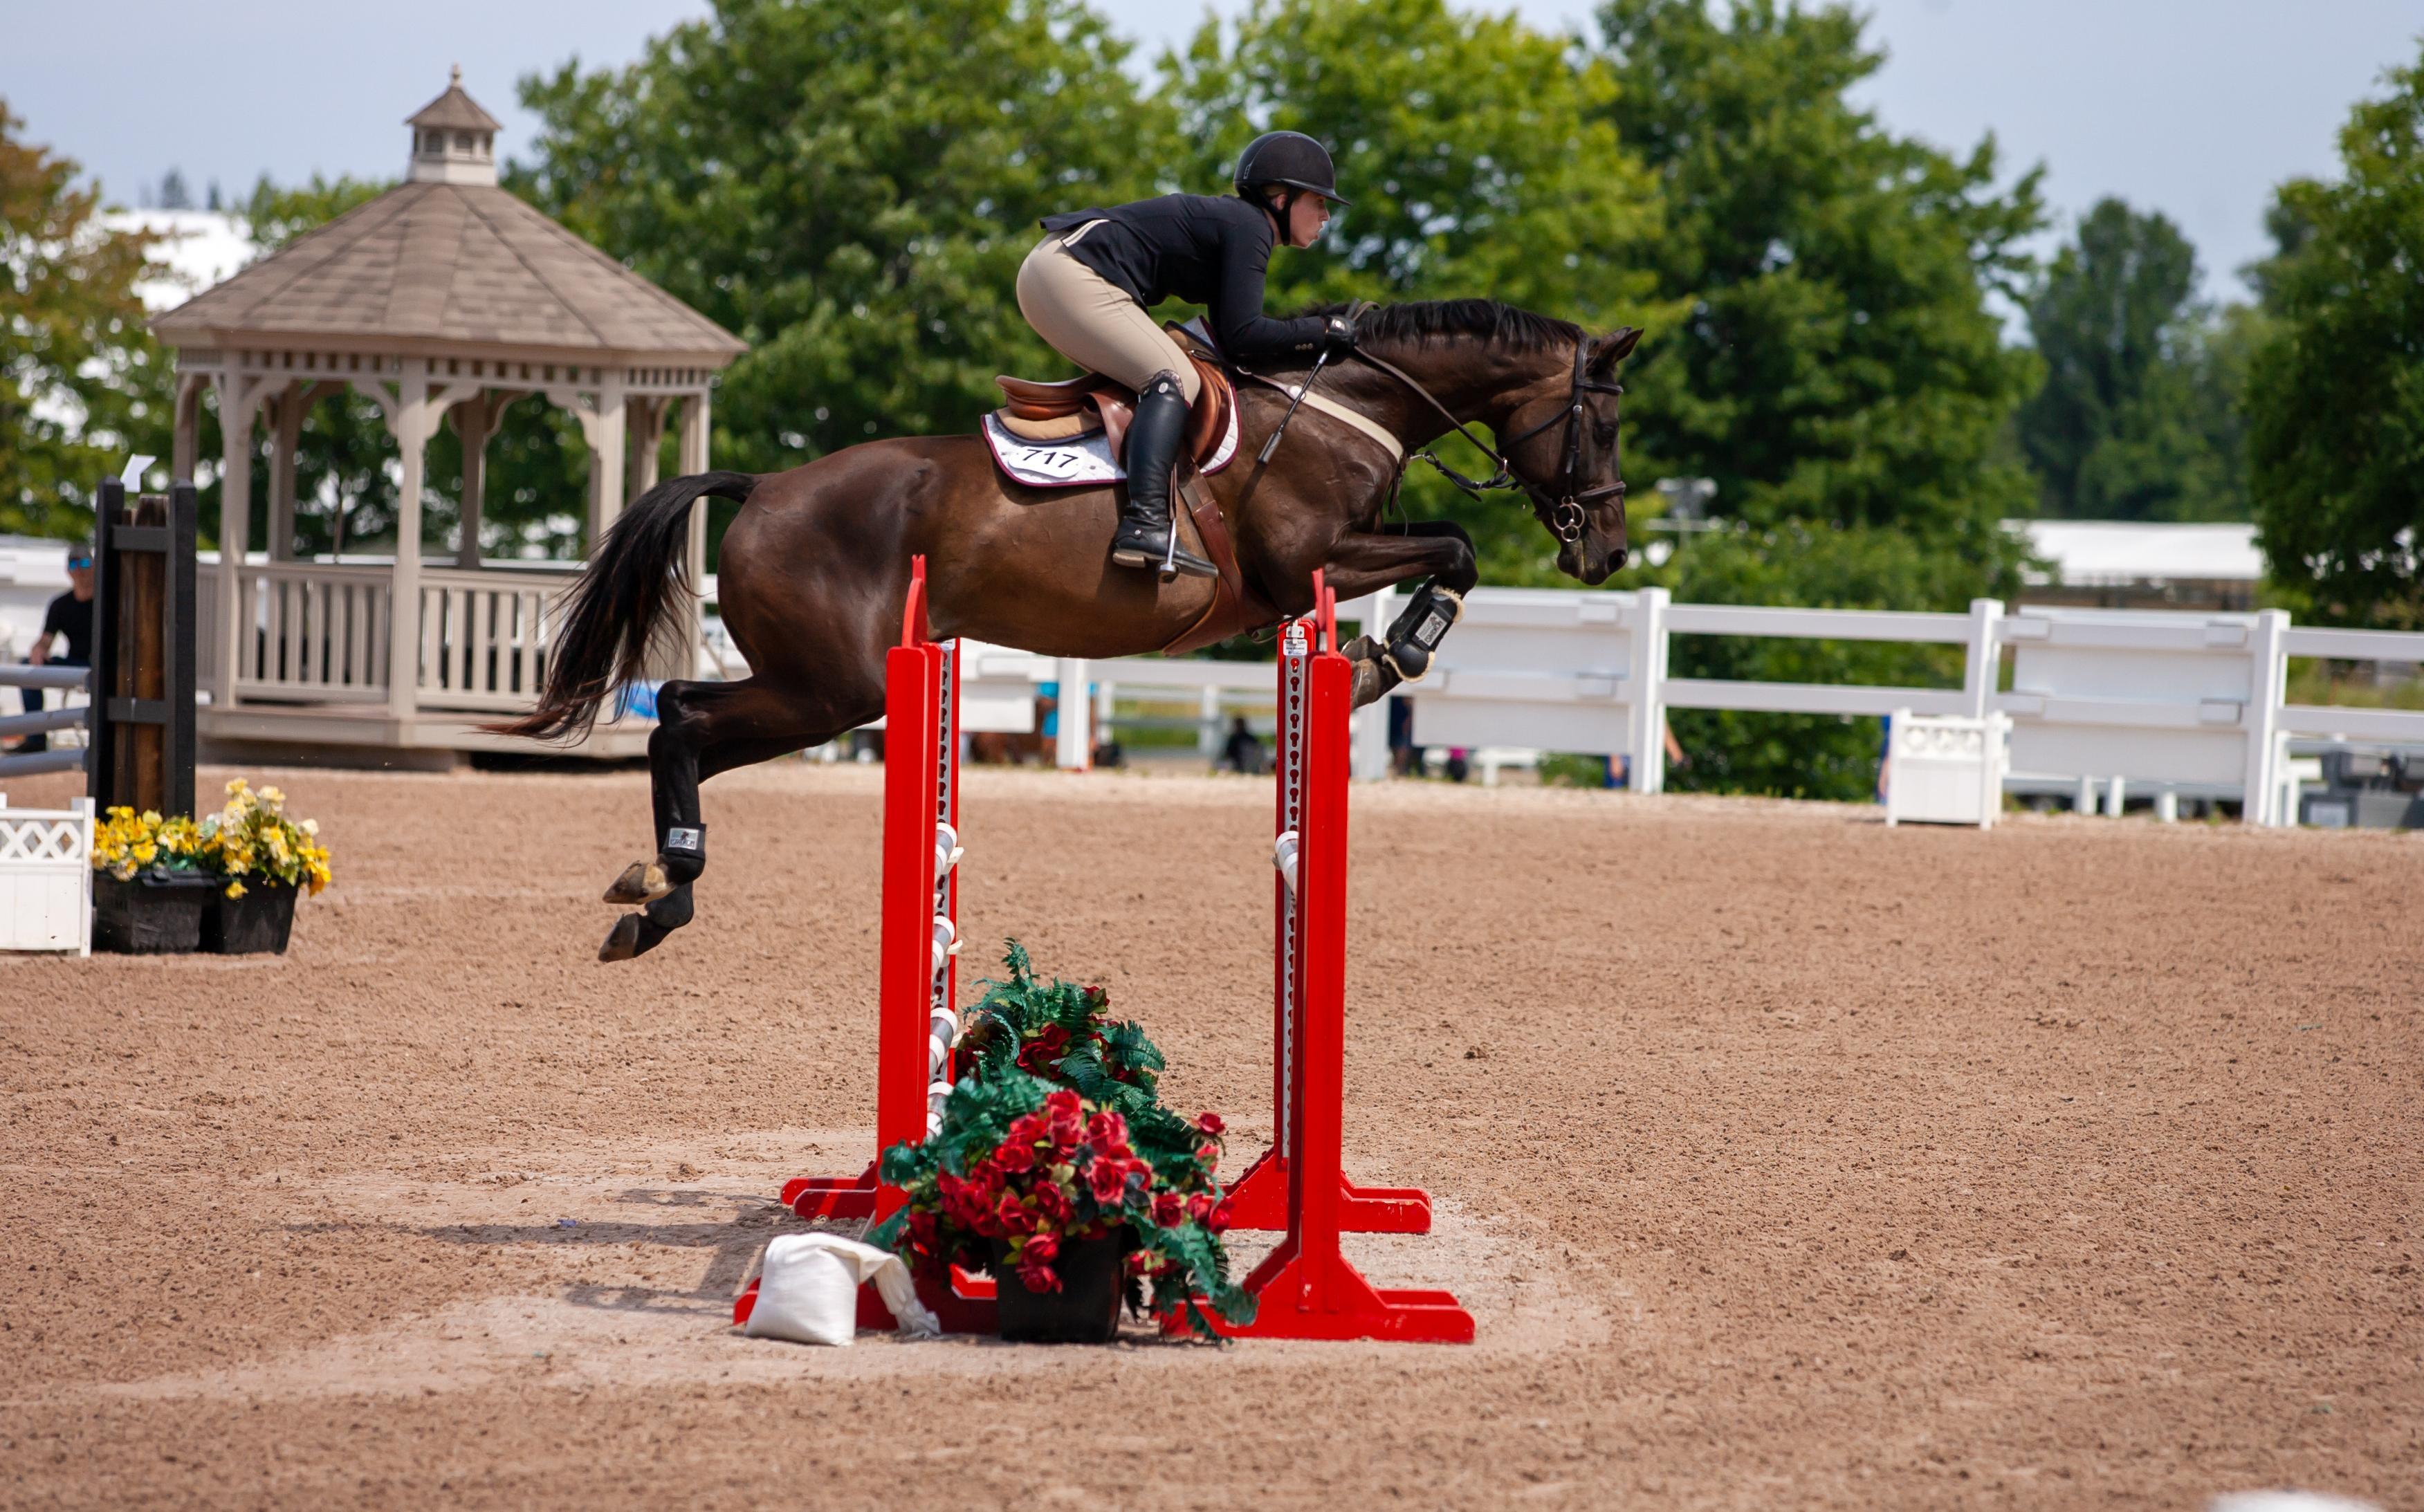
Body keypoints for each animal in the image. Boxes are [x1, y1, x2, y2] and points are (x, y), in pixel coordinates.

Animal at [494, 298, 1641, 961]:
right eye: (1605, 419)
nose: (1610, 553)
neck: (1340, 402)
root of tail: (765, 485)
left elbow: (1454, 547)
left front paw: (1376, 655)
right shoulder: (1302, 561)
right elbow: (1457, 550)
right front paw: (1381, 657)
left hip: (822, 687)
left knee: (680, 718)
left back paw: (655, 889)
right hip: (831, 687)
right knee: (682, 719)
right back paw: (664, 892)